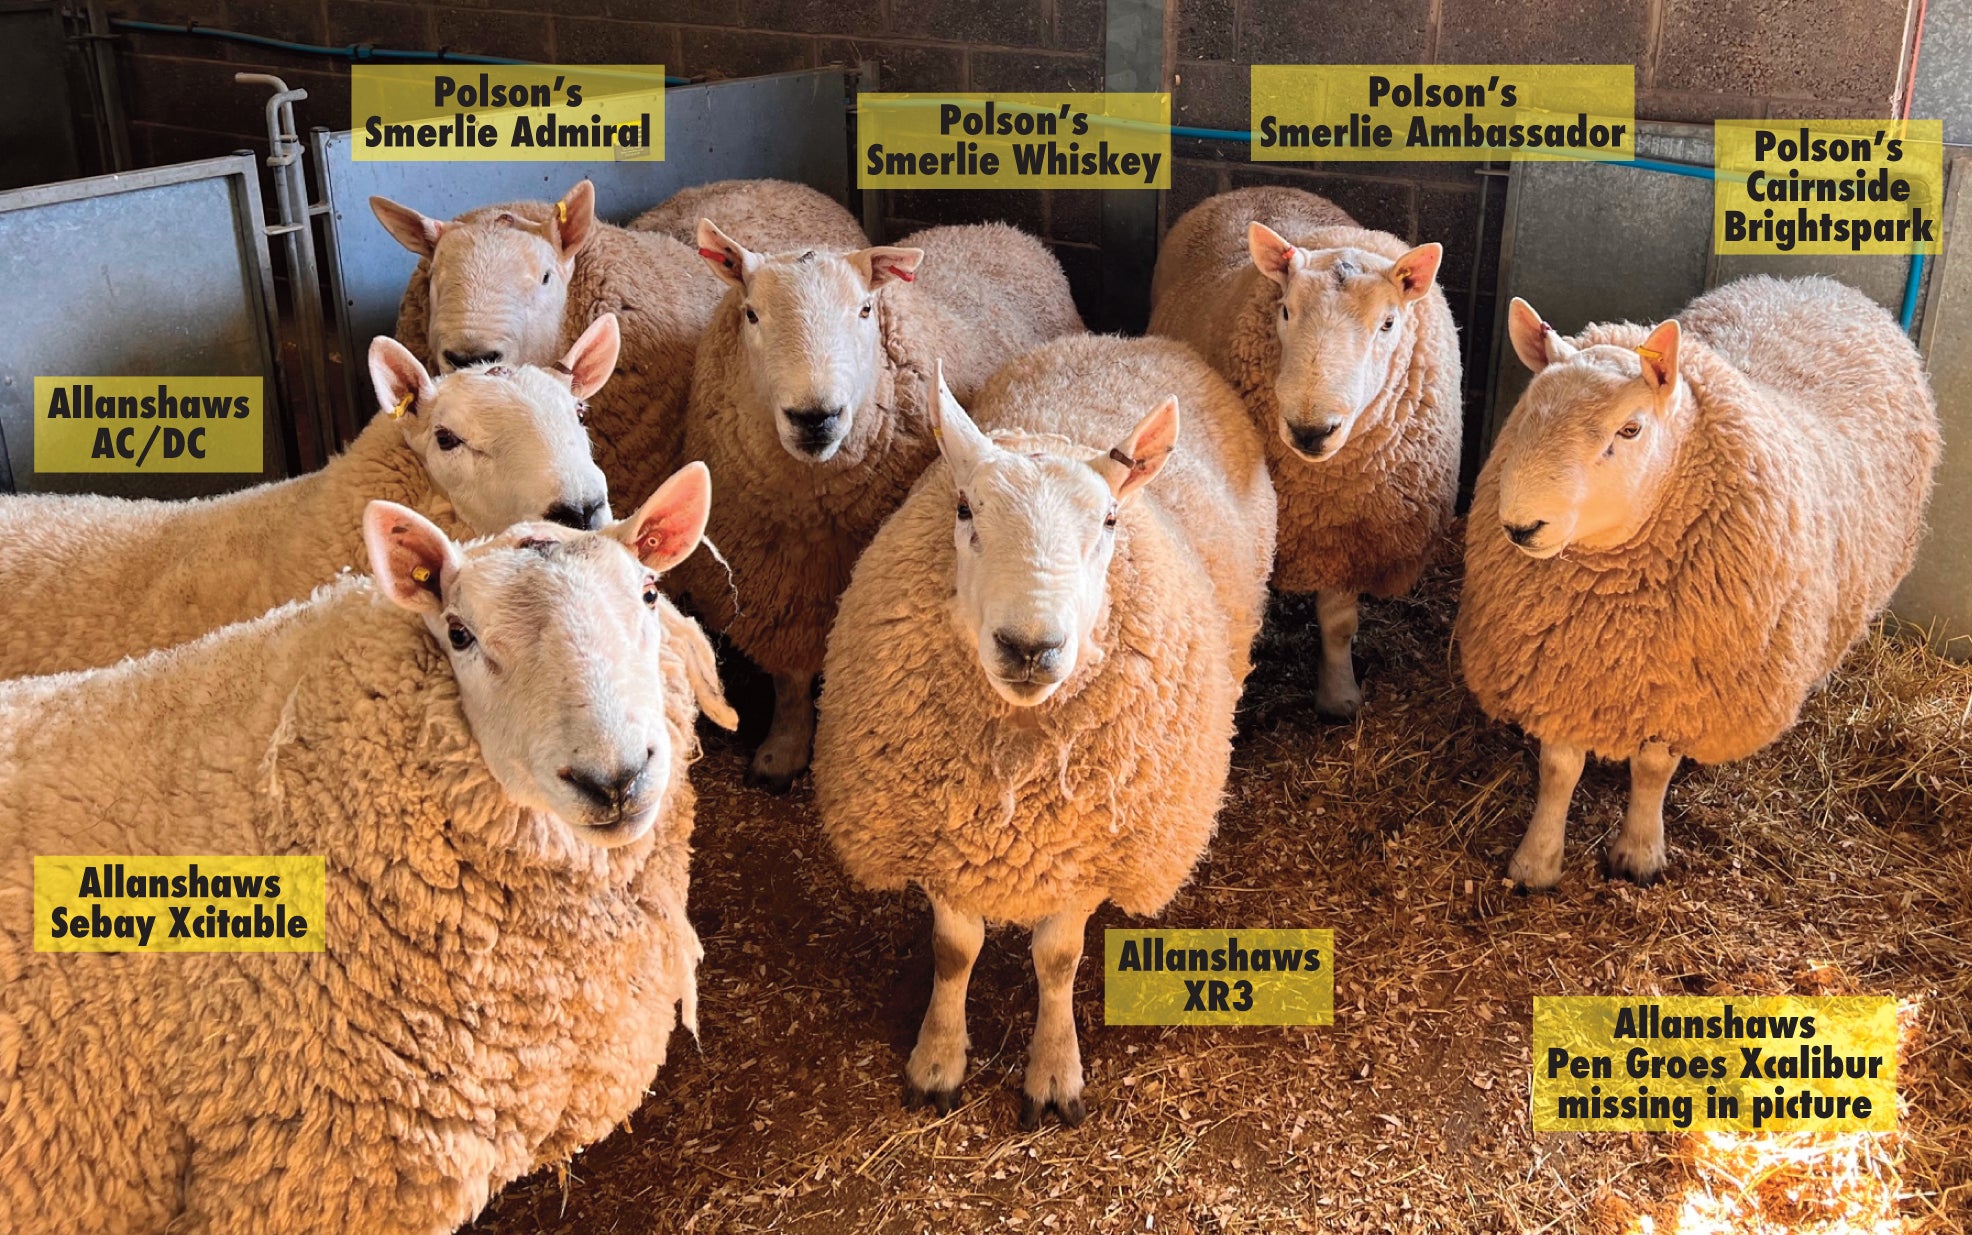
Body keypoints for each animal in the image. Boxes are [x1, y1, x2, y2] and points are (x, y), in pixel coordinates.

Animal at [678, 219, 1085, 791]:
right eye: (751, 312)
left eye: (865, 310)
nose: (815, 417)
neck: (811, 507)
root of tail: (996, 225)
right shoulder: (778, 586)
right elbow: (789, 679)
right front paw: (783, 750)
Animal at [813, 337, 1275, 1127]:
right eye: (965, 508)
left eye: (1111, 521)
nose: (1030, 647)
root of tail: (1128, 341)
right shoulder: (940, 841)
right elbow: (954, 950)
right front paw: (938, 1060)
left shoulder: (1088, 853)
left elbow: (1057, 960)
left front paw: (1054, 1072)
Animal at [1149, 185, 1461, 720]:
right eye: (1286, 311)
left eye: (1388, 323)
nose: (1311, 430)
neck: (1324, 479)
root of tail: (1257, 188)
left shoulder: (1344, 536)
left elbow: (1338, 623)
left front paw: (1340, 696)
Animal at [1457, 276, 1940, 890]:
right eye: (1528, 413)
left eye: (1630, 429)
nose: (1521, 526)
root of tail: (1822, 287)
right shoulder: (1566, 671)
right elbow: (1560, 768)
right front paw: (1536, 862)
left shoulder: (1685, 688)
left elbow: (1652, 768)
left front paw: (1639, 853)